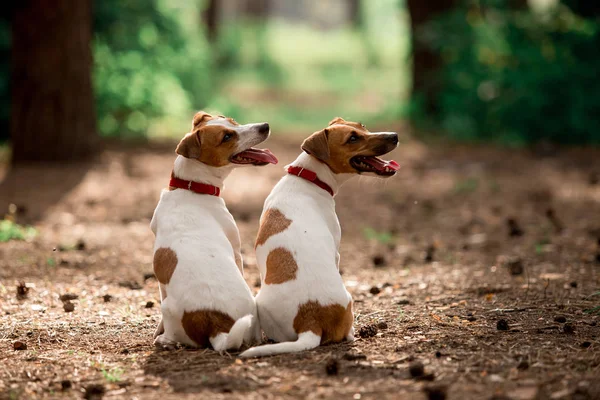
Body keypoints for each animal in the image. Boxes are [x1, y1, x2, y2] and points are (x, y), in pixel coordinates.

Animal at [152, 111, 278, 352]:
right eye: (227, 136)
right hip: (169, 306)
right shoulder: (237, 251)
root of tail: (217, 323)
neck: (191, 187)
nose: (265, 126)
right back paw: (164, 340)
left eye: (232, 122)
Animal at [239, 117, 398, 358]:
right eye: (352, 138)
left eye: (362, 126)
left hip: (262, 304)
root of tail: (310, 320)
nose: (394, 136)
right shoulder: (337, 251)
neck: (308, 178)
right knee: (347, 332)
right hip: (348, 301)